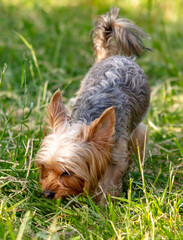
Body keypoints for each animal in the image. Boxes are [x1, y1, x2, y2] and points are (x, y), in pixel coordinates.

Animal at [35, 7, 151, 201]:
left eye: (67, 173)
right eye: (44, 167)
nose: (47, 193)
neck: (88, 118)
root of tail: (114, 56)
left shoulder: (116, 153)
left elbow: (109, 181)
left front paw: (105, 204)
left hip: (137, 127)